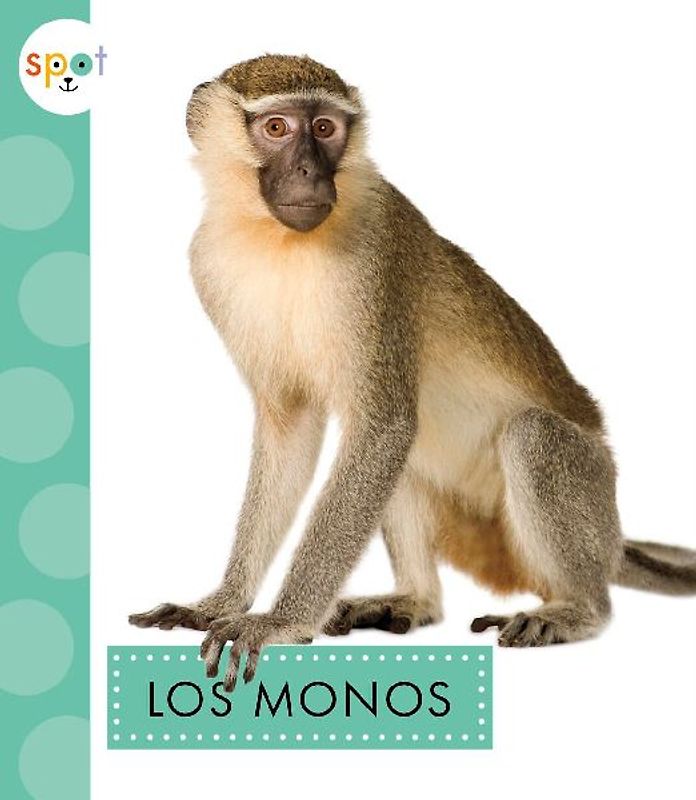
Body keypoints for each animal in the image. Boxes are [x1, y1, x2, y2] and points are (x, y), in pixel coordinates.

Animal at [129, 54, 696, 692]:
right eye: (277, 128)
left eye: (324, 128)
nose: (307, 170)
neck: (277, 240)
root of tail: (614, 535)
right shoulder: (208, 263)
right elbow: (294, 430)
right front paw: (221, 602)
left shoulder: (377, 256)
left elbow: (382, 426)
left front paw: (278, 622)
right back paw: (415, 599)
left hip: (590, 493)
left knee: (529, 435)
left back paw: (579, 609)